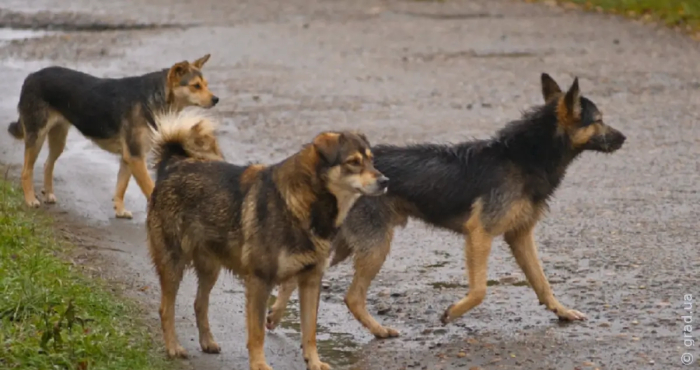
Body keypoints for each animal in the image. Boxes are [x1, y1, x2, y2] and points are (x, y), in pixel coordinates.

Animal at [6, 53, 219, 218]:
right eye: (195, 86)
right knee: (26, 171)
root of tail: (31, 76)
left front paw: (120, 210)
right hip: (36, 136)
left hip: (58, 138)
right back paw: (30, 199)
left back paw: (49, 194)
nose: (216, 99)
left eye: (206, 85)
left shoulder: (129, 157)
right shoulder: (135, 156)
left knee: (48, 164)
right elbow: (150, 188)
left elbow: (121, 187)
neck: (154, 97)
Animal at [268, 73, 628, 338]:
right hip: (374, 244)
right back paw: (380, 331)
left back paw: (274, 316)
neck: (525, 155)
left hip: (342, 241)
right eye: (599, 119)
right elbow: (480, 290)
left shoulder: (520, 235)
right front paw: (452, 312)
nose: (625, 138)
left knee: (292, 278)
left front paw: (561, 311)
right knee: (351, 297)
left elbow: (542, 281)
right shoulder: (480, 234)